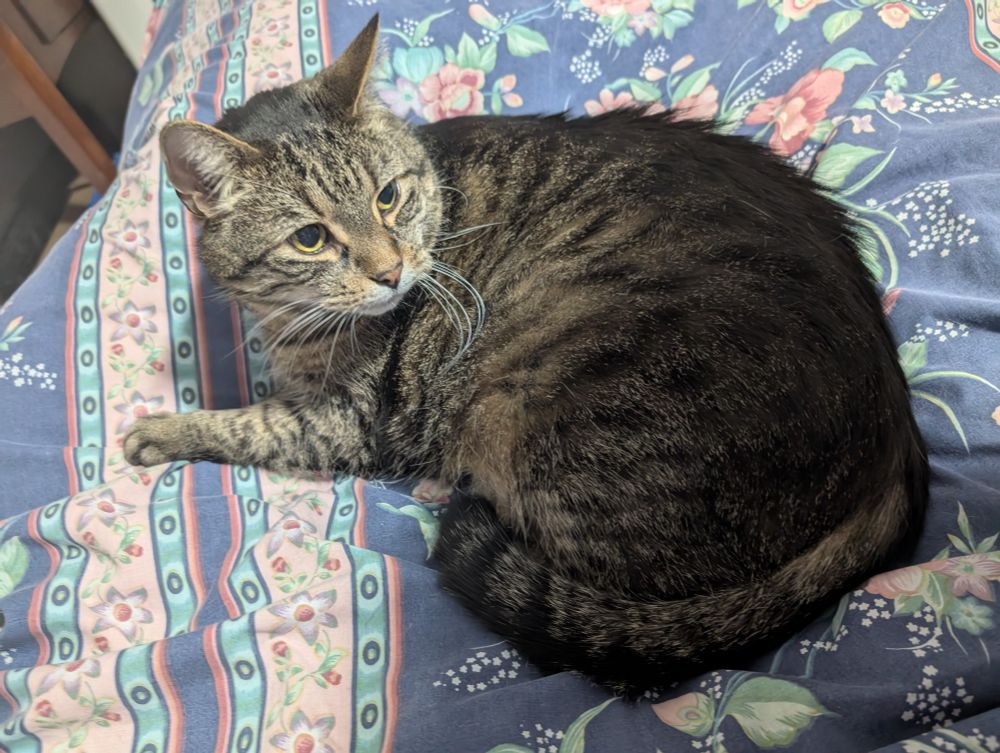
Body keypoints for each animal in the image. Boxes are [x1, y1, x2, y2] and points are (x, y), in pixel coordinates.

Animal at [125, 16, 928, 696]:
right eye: (310, 239)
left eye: (387, 198)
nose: (390, 272)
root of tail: (892, 462)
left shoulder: (350, 421)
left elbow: (250, 423)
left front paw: (158, 430)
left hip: (545, 419)